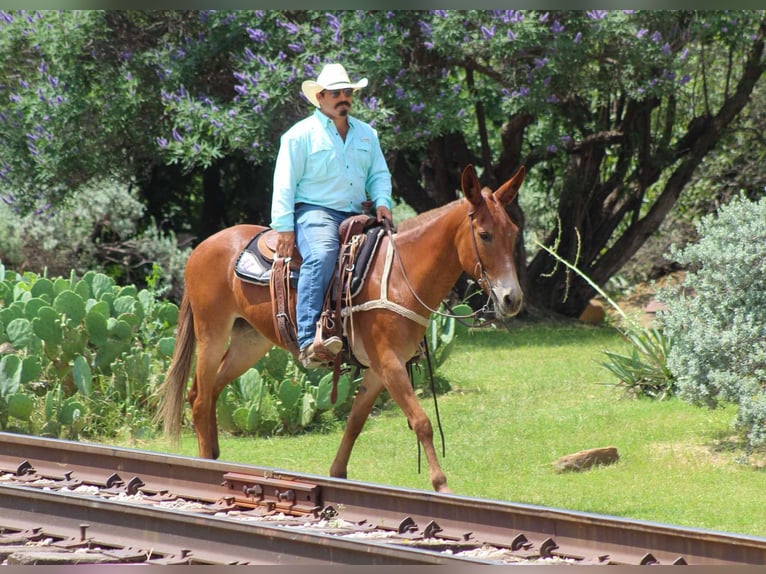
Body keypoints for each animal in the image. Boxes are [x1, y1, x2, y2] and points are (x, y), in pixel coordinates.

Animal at [156, 164, 525, 493]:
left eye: (513, 233)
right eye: (484, 235)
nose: (512, 299)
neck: (399, 276)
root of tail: (201, 248)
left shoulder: (378, 369)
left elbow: (355, 423)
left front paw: (337, 475)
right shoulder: (390, 362)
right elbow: (421, 422)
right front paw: (442, 485)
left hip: (249, 343)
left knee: (210, 392)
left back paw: (214, 455)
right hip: (212, 334)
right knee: (200, 398)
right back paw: (205, 464)